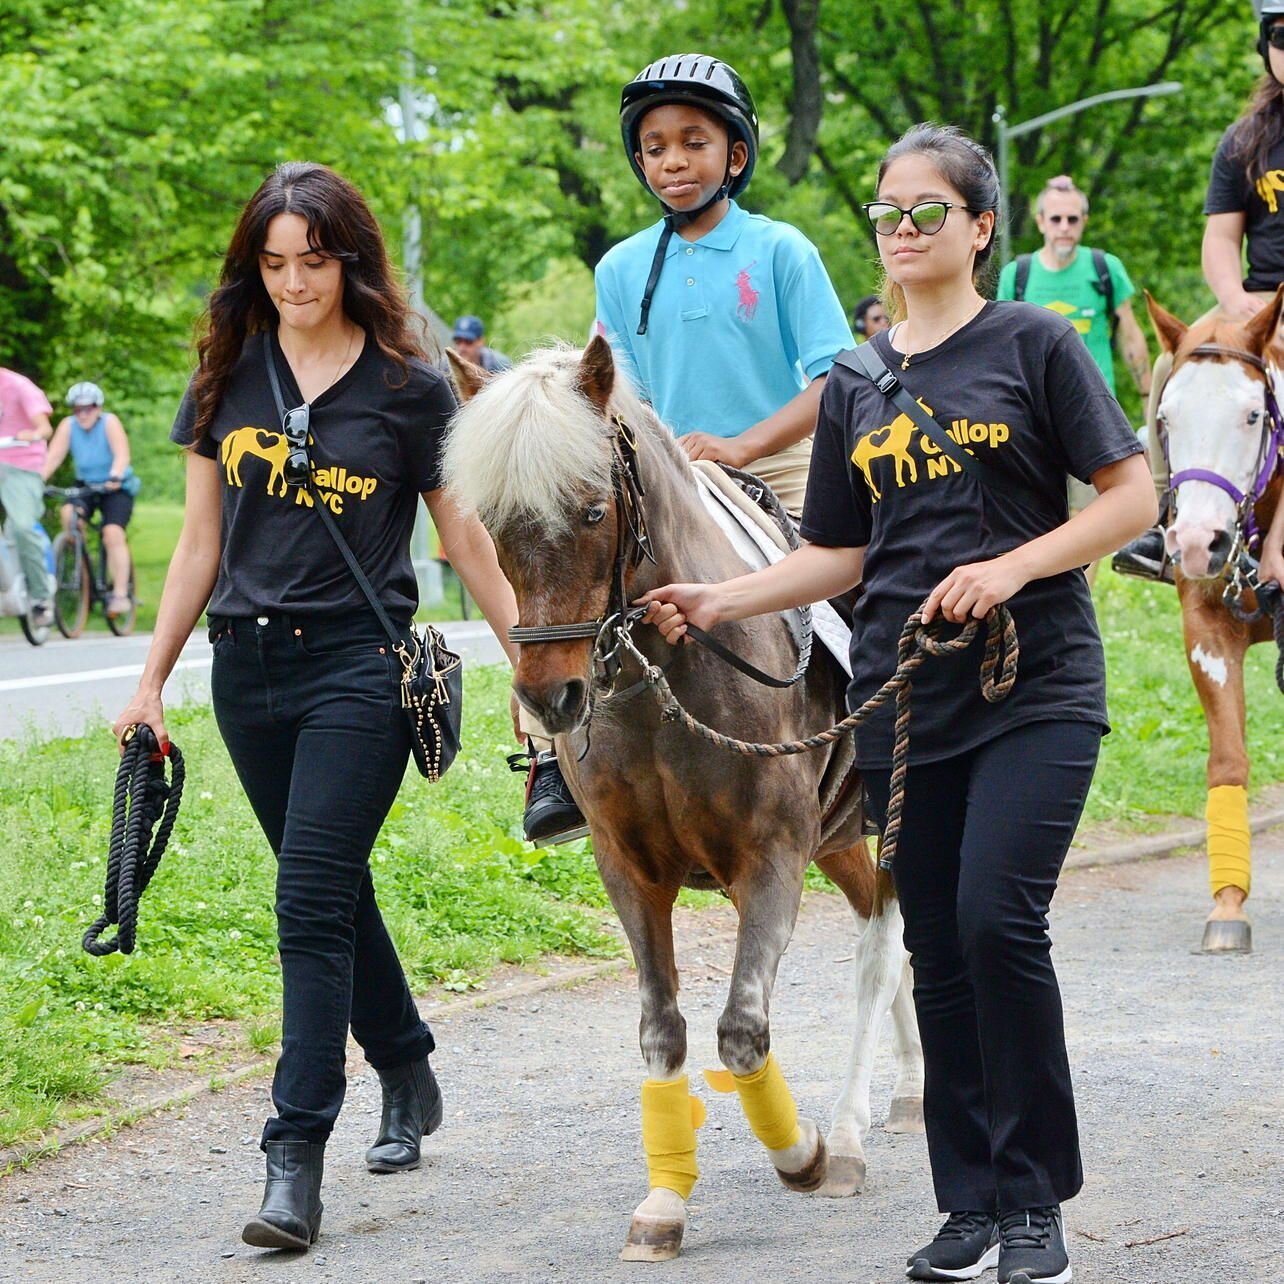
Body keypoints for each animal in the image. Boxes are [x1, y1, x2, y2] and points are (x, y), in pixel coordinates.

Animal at [444, 341, 924, 1263]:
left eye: (593, 512)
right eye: (491, 523)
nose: (550, 698)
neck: (666, 682)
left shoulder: (770, 861)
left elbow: (741, 1031)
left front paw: (803, 1154)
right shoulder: (628, 869)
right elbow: (661, 1029)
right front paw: (664, 1201)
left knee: (879, 958)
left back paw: (848, 1134)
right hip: (842, 840)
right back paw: (914, 1088)